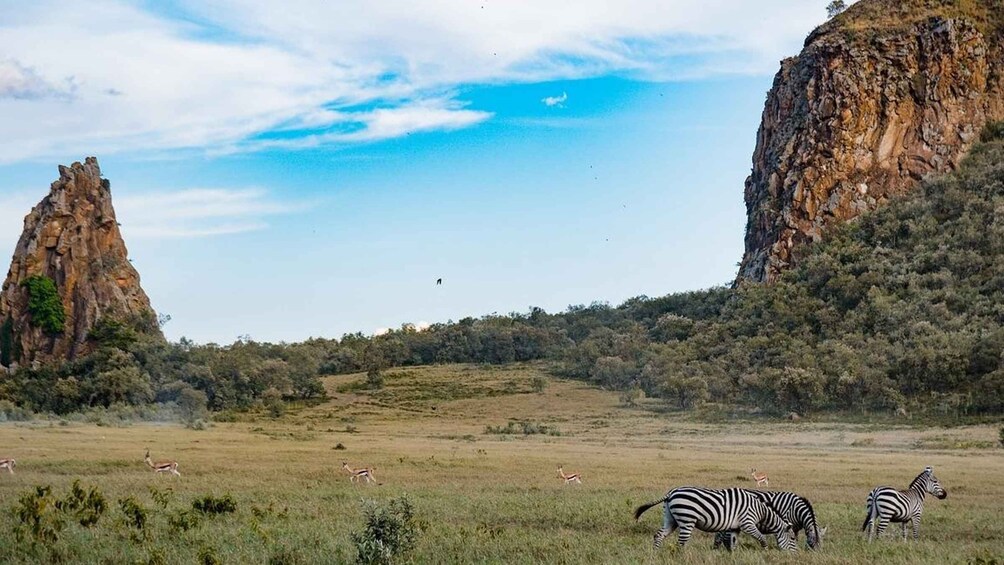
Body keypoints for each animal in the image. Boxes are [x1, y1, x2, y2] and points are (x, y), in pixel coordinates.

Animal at [634, 485, 791, 553]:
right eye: (793, 539)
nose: (793, 555)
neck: (760, 510)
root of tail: (671, 493)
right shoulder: (747, 523)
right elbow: (761, 538)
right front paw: (766, 551)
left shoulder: (734, 527)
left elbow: (733, 542)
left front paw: (732, 555)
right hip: (687, 519)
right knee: (681, 542)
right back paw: (681, 557)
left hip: (670, 519)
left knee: (659, 535)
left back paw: (655, 553)